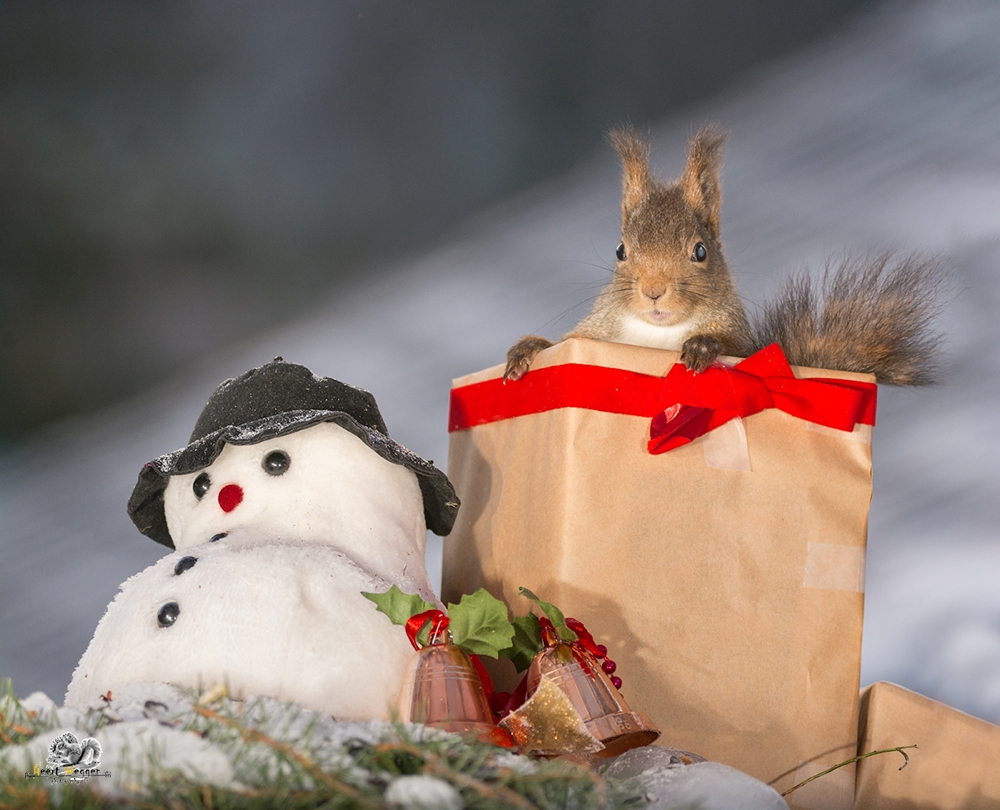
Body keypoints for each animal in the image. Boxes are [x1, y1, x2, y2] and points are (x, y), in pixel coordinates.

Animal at [504, 124, 948, 386]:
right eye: (620, 250)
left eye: (700, 251)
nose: (653, 291)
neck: (655, 337)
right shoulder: (593, 335)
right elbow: (561, 342)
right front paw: (529, 347)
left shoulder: (744, 341)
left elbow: (729, 344)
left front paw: (704, 346)